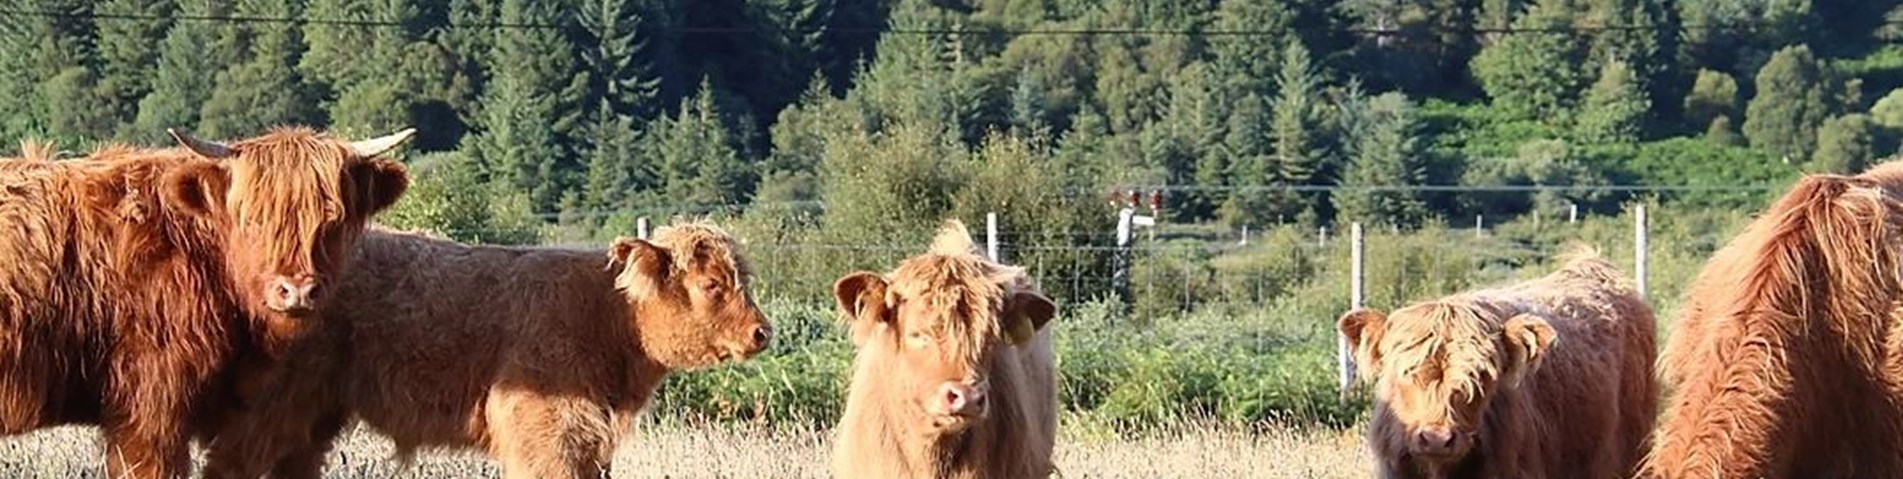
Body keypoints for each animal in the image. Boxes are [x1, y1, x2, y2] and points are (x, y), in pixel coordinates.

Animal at [196, 221, 773, 479]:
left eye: (742, 279)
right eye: (713, 285)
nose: (762, 331)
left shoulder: (589, 441)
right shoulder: (547, 434)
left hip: (312, 414)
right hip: (272, 405)